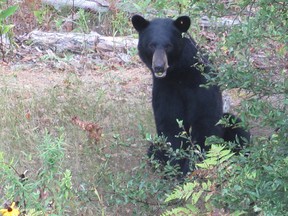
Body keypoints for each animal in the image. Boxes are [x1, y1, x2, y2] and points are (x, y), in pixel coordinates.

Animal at [132, 14, 249, 176]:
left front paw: (192, 169)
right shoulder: (165, 88)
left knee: (237, 130)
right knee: (154, 149)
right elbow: (170, 122)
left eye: (168, 46)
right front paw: (174, 168)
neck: (179, 73)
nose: (159, 67)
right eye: (151, 45)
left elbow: (205, 121)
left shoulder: (201, 82)